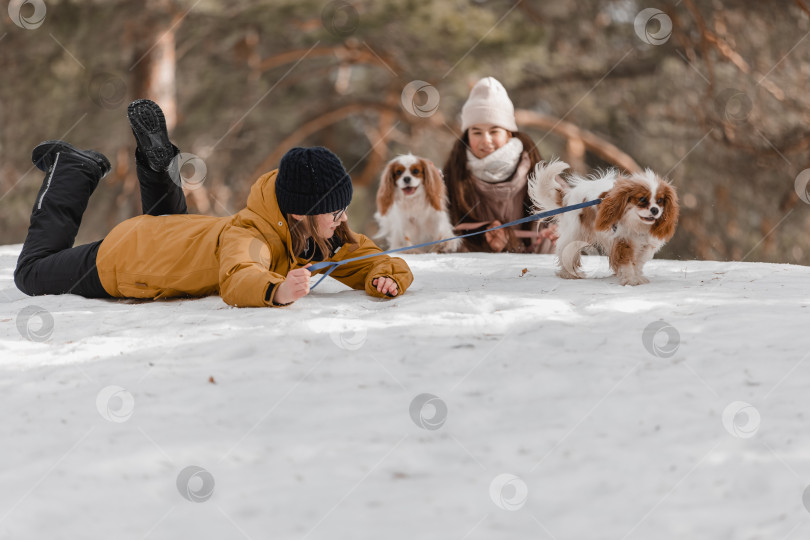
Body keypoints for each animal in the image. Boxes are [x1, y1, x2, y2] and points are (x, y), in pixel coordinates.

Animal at [528, 159, 680, 286]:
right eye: (642, 199)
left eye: (660, 201)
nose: (655, 210)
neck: (637, 224)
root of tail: (569, 195)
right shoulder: (623, 242)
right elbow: (627, 262)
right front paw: (630, 280)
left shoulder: (645, 246)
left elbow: (638, 263)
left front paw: (637, 277)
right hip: (576, 233)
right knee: (566, 250)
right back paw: (568, 273)